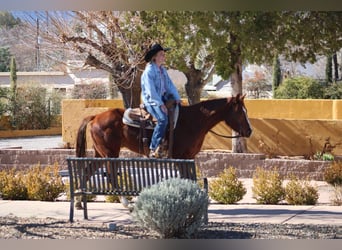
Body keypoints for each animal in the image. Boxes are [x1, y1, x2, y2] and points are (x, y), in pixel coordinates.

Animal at [76, 94, 252, 158]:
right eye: (240, 112)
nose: (249, 131)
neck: (193, 121)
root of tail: (95, 117)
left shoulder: (189, 157)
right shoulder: (180, 156)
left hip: (101, 152)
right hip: (110, 153)